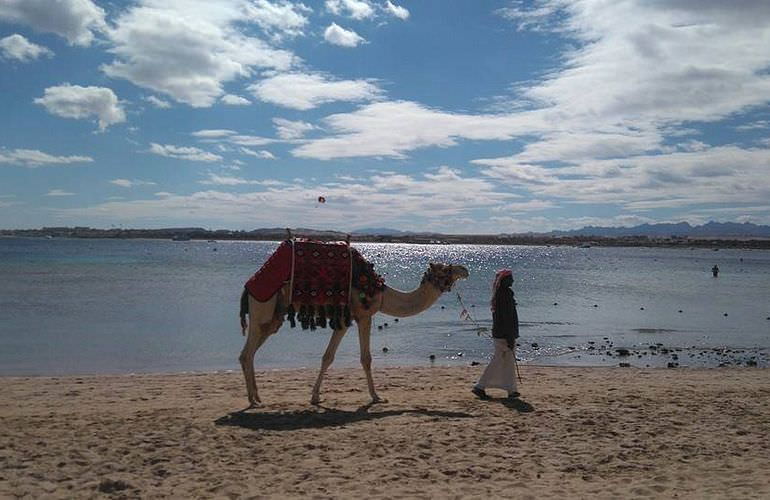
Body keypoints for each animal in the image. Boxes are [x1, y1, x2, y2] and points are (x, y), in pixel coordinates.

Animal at [237, 258, 464, 406]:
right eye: (446, 269)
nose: (465, 269)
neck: (380, 292)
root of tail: (248, 286)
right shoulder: (360, 316)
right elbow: (358, 358)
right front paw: (376, 397)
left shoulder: (350, 319)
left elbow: (331, 357)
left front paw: (316, 396)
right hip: (262, 308)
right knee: (247, 353)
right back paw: (252, 400)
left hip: (273, 317)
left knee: (249, 353)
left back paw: (257, 397)